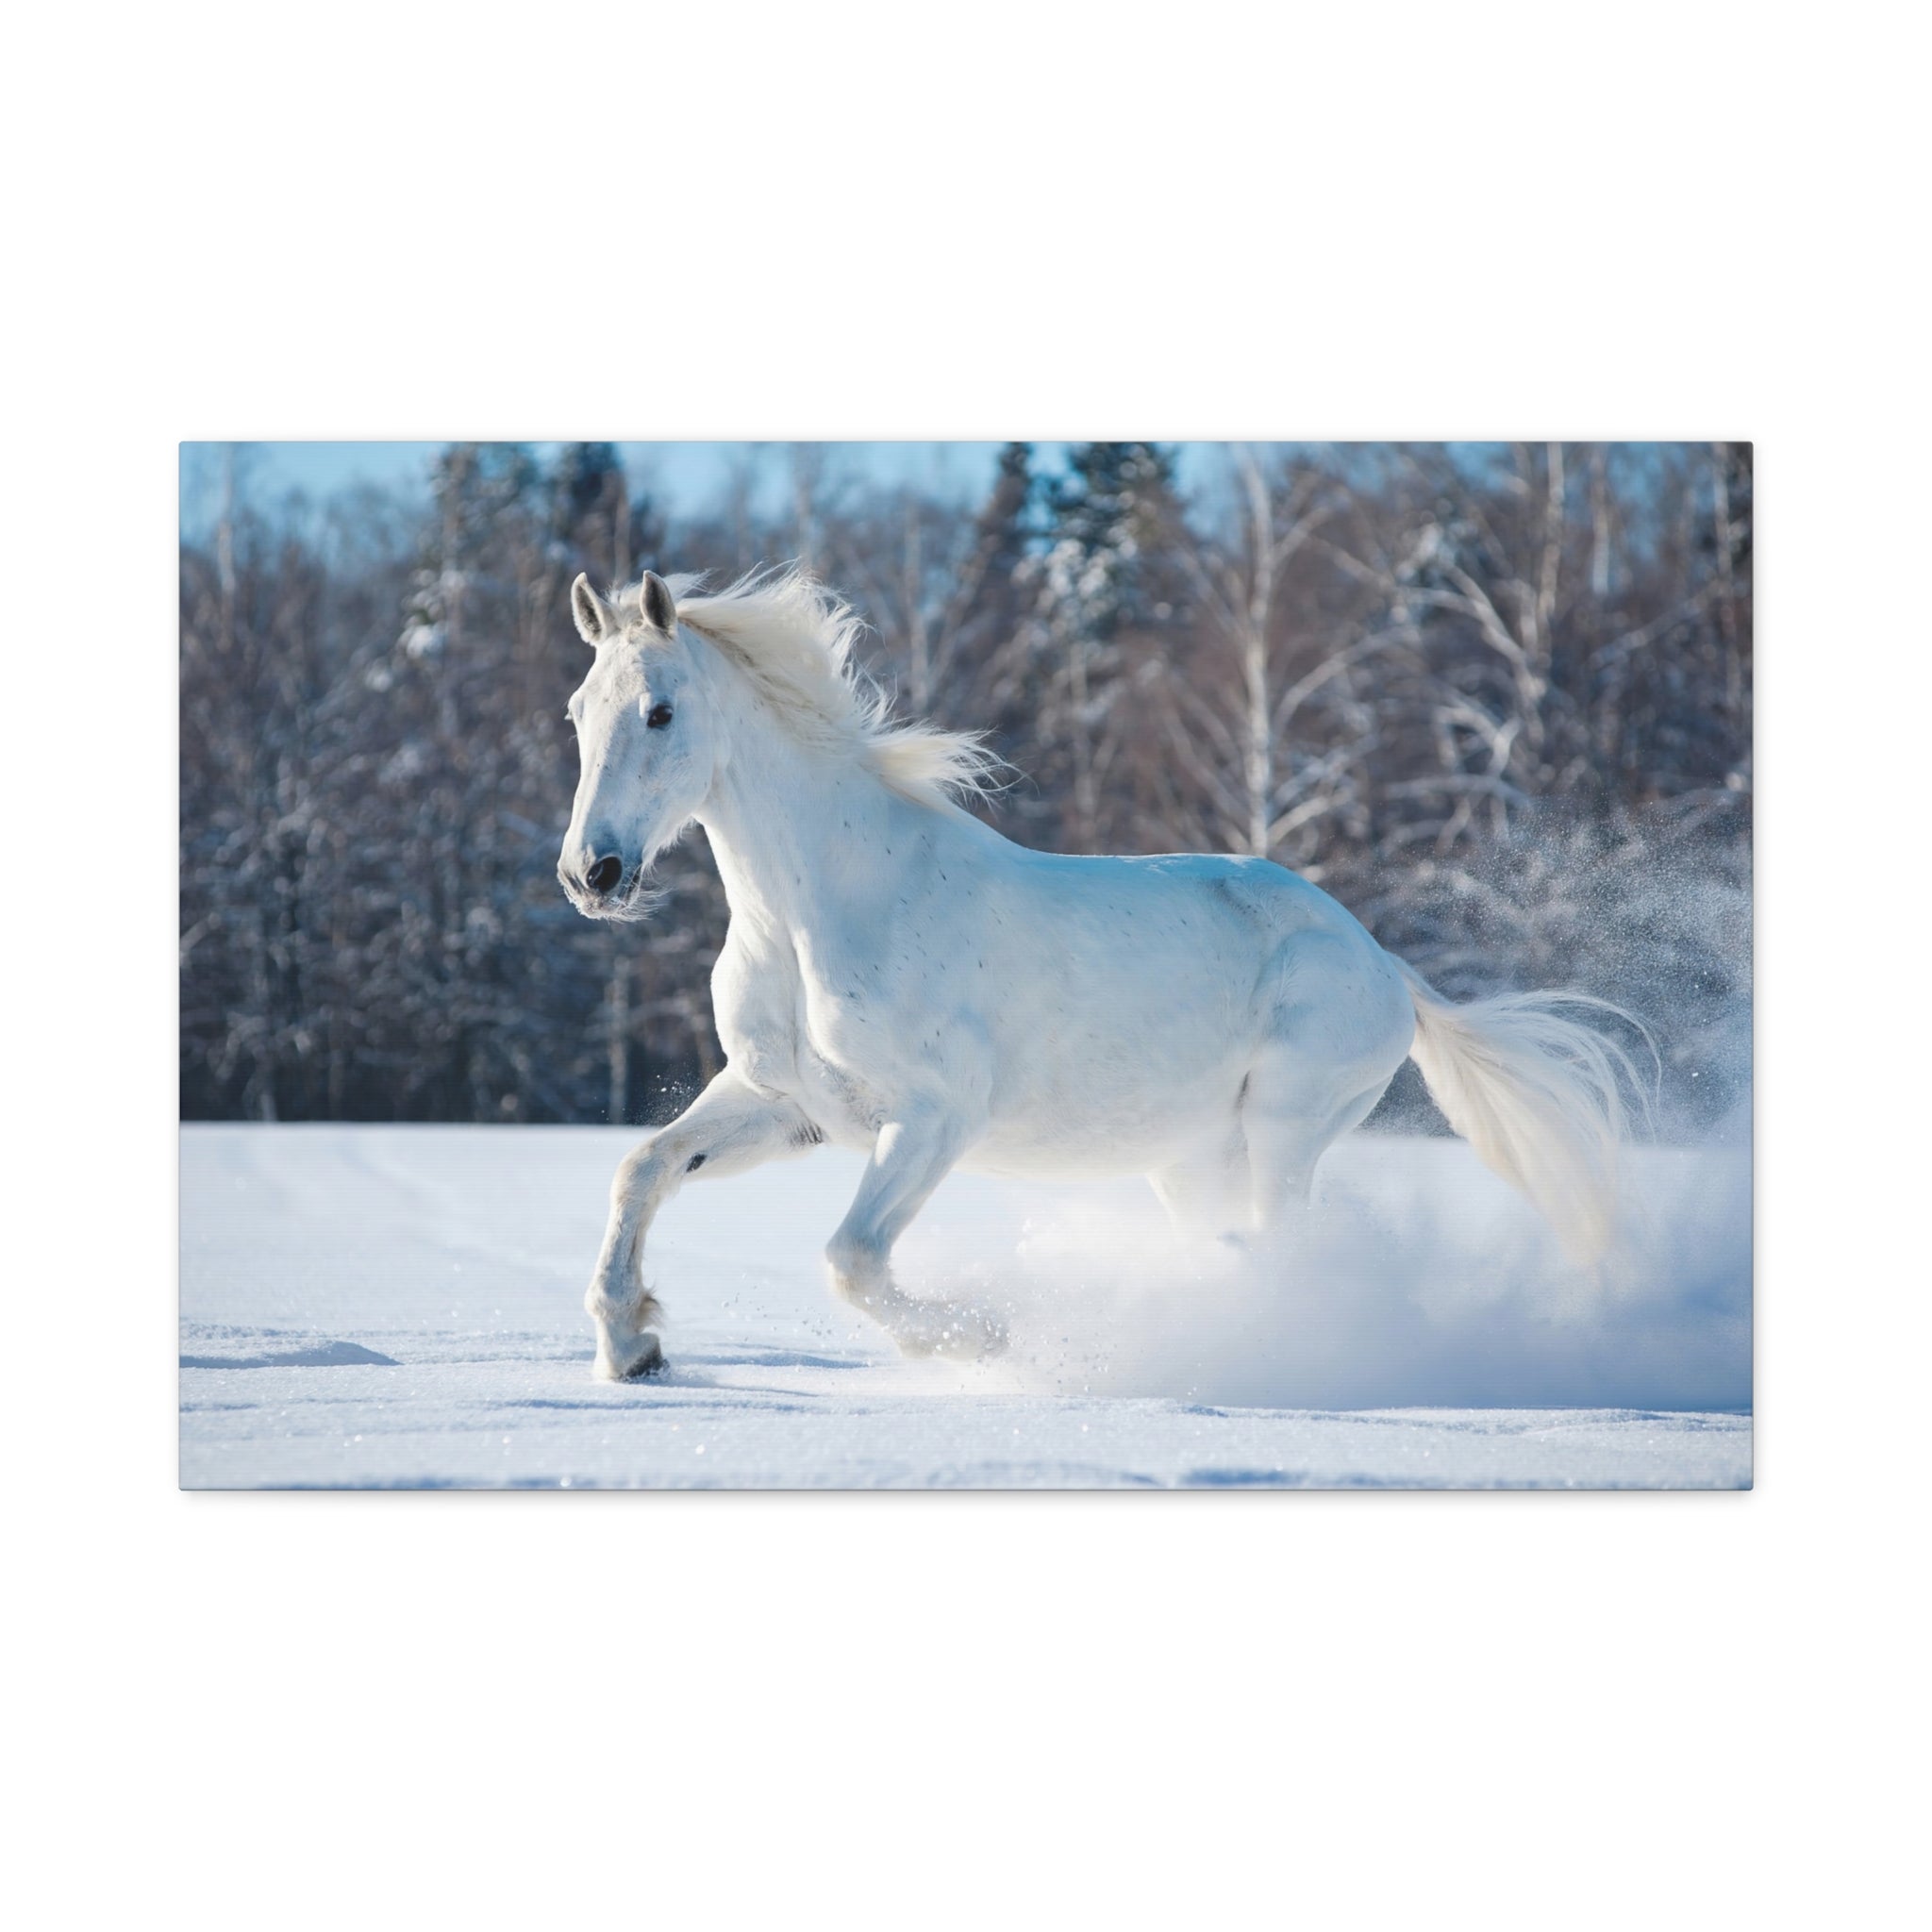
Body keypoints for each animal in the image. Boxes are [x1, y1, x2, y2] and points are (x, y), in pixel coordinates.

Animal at [557, 565, 1646, 1380]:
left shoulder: (935, 1115)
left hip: (1285, 1127)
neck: (819, 911)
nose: (591, 874)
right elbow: (640, 1169)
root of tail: (1382, 963)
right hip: (1190, 1159)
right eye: (576, 712)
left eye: (659, 711)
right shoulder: (786, 1104)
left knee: (1283, 1248)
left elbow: (851, 1259)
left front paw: (982, 1337)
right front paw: (633, 1346)